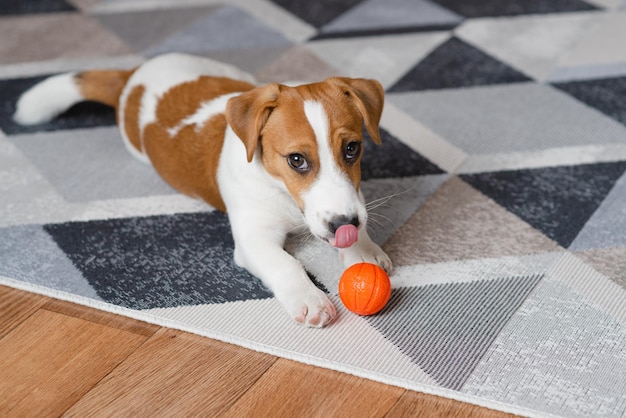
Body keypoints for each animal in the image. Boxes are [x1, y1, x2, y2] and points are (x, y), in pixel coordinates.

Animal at [13, 53, 390, 326]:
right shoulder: (254, 239)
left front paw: (363, 249)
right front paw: (310, 299)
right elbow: (285, 264)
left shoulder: (351, 199)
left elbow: (357, 217)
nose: (344, 225)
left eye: (352, 149)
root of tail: (133, 75)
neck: (282, 192)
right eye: (296, 159)